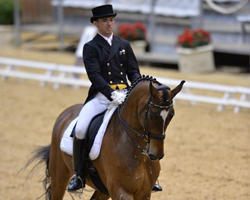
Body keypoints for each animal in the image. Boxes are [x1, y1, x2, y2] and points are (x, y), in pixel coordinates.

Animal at [26, 75, 184, 200]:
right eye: (151, 115)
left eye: (171, 115)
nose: (156, 154)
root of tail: (66, 113)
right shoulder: (119, 191)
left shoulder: (144, 193)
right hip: (59, 178)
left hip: (103, 190)